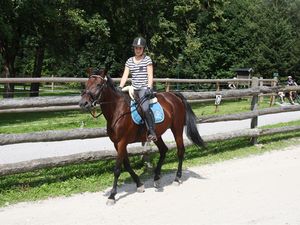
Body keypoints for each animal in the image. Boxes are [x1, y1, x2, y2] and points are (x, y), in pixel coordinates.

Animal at [78, 69, 205, 205]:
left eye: (98, 85)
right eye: (86, 84)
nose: (83, 103)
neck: (118, 110)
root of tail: (173, 96)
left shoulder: (122, 142)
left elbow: (117, 169)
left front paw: (112, 196)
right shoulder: (117, 143)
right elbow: (127, 165)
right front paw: (139, 185)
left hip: (177, 128)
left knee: (180, 150)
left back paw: (177, 178)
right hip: (156, 134)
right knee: (163, 150)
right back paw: (156, 178)